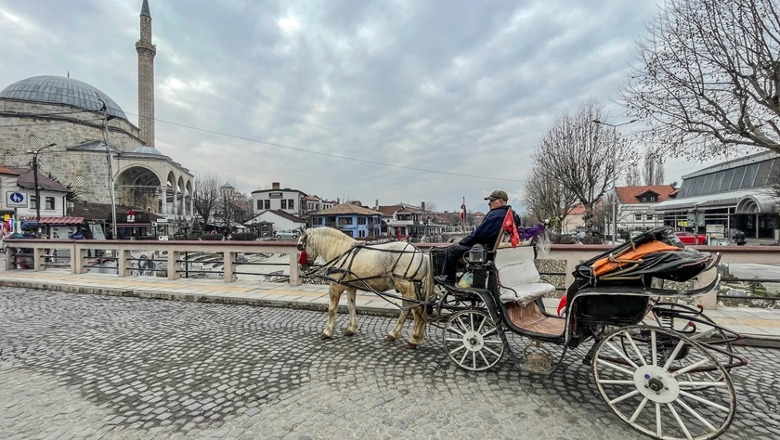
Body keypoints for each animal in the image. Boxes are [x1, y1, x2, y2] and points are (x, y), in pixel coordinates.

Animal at [298, 227, 432, 348]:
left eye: (300, 246)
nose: (300, 266)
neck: (341, 252)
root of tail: (421, 255)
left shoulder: (335, 286)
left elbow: (331, 309)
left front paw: (328, 332)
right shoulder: (350, 287)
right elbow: (351, 306)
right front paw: (352, 328)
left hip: (406, 287)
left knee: (415, 310)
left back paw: (414, 338)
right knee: (409, 309)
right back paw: (395, 334)